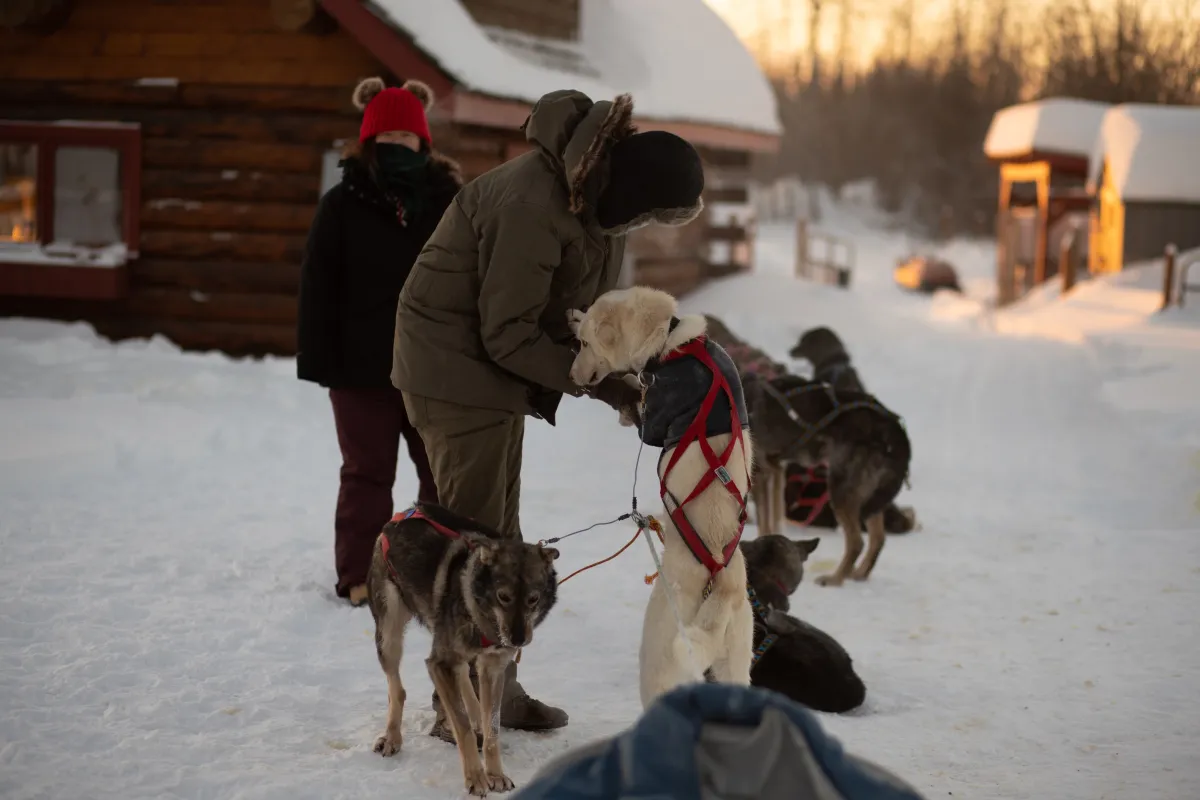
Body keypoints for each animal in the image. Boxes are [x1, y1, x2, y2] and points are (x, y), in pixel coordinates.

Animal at [364, 503, 556, 796]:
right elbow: (462, 727)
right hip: (389, 636)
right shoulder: (439, 662)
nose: (517, 640)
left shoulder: (493, 667)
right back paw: (392, 737)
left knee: (465, 680)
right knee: (398, 690)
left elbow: (492, 729)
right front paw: (475, 778)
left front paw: (496, 775)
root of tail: (403, 513)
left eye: (533, 599)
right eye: (504, 597)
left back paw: (475, 712)